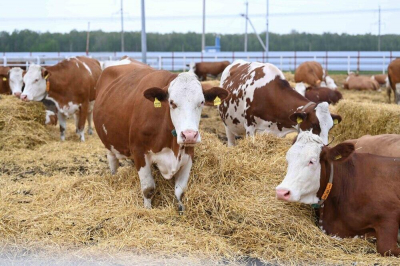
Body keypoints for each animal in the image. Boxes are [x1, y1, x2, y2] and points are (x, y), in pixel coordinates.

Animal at [93, 61, 228, 211]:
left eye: (202, 102)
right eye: (172, 102)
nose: (189, 135)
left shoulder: (188, 154)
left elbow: (180, 190)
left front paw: (181, 209)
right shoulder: (139, 152)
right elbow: (148, 188)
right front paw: (147, 209)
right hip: (109, 144)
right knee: (113, 161)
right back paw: (114, 175)